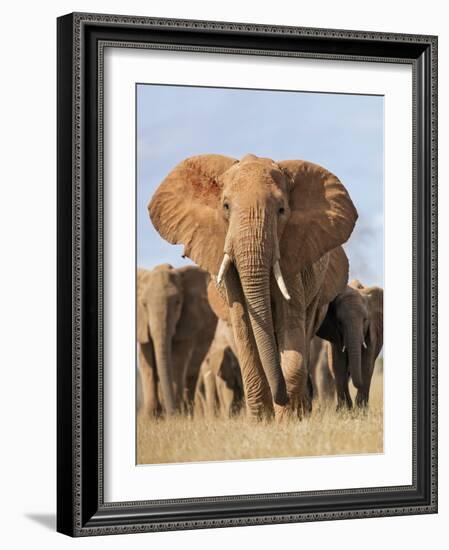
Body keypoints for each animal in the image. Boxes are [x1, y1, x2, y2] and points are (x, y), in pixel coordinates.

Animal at [136, 264, 217, 418]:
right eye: (143, 304)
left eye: (178, 303)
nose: (171, 413)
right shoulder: (142, 325)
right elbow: (146, 362)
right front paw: (150, 418)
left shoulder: (188, 322)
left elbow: (177, 360)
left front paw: (177, 417)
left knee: (191, 375)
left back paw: (188, 413)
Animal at [149, 153, 356, 420]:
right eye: (226, 206)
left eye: (281, 210)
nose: (282, 398)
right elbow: (244, 327)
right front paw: (262, 420)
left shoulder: (293, 254)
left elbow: (290, 322)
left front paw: (289, 418)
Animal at [316, 280, 384, 410]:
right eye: (339, 322)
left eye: (365, 320)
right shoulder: (335, 334)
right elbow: (338, 364)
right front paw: (345, 410)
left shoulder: (372, 330)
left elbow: (366, 364)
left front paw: (361, 410)